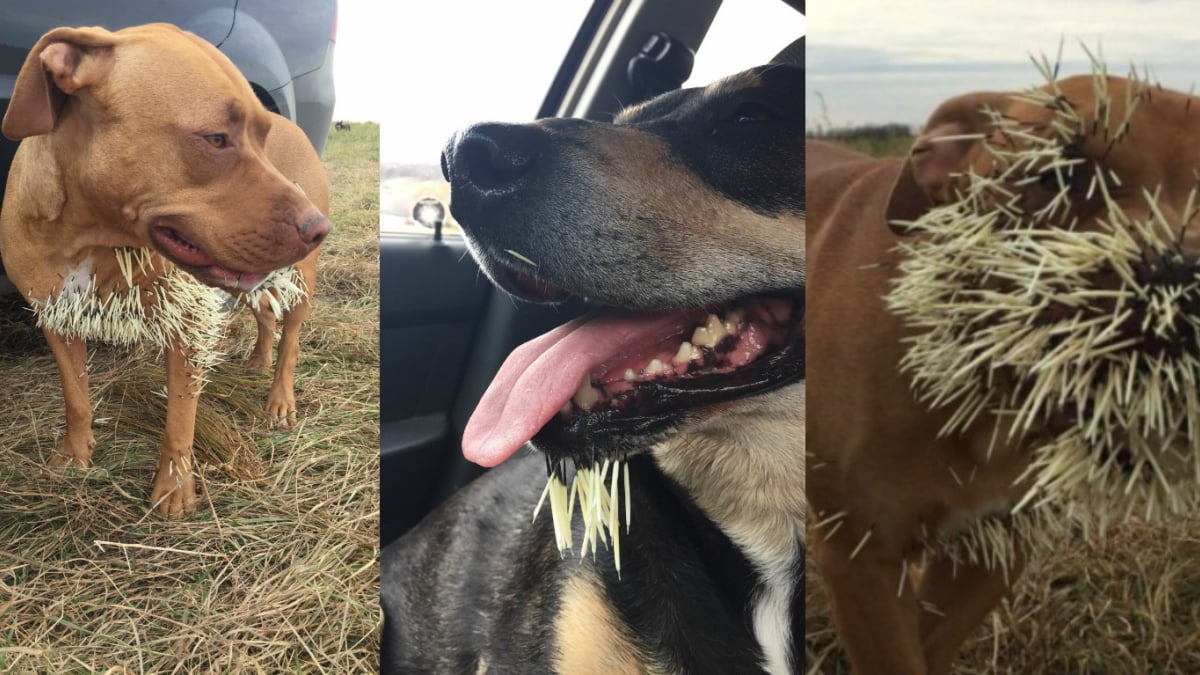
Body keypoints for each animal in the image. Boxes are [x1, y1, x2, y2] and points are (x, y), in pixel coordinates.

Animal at [0, 22, 328, 514]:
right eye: (216, 139)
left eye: (263, 138)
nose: (318, 227)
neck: (91, 232)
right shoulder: (56, 319)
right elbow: (75, 396)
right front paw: (76, 454)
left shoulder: (187, 324)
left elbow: (180, 417)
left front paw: (173, 489)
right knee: (266, 315)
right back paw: (257, 360)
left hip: (299, 280)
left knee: (290, 337)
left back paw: (279, 398)